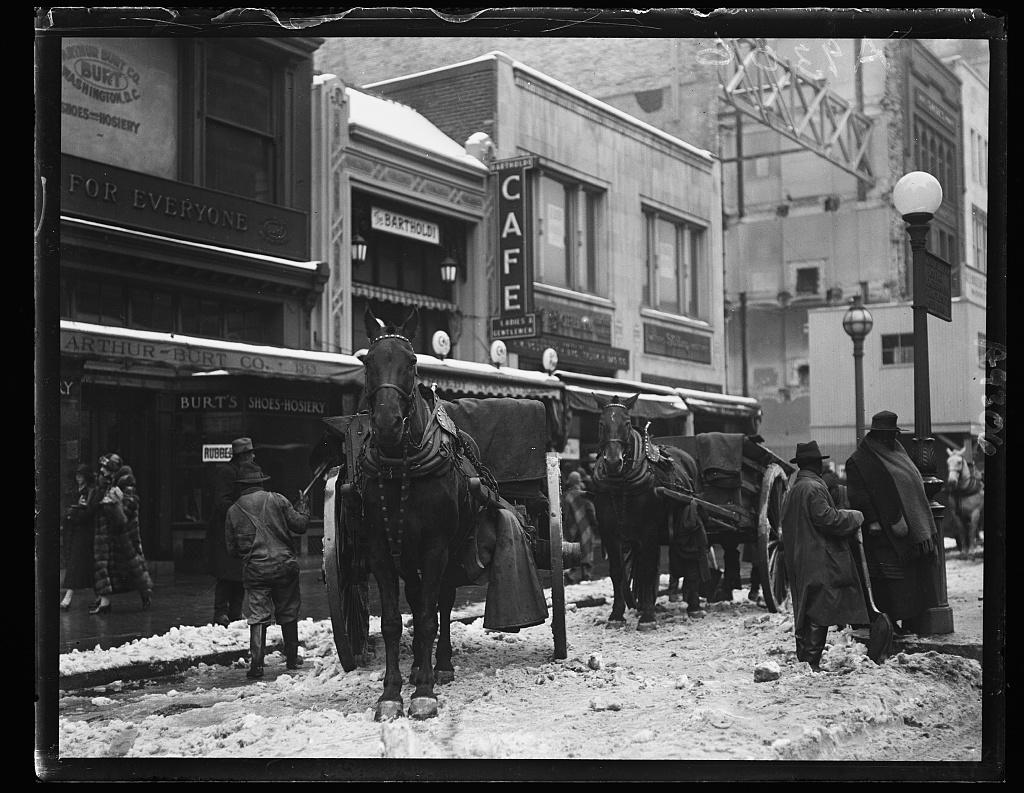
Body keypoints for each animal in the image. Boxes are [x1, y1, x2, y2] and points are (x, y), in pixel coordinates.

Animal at [356, 307, 479, 725]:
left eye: (411, 362)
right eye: (367, 362)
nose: (387, 423)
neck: (400, 467)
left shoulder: (436, 547)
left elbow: (427, 617)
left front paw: (424, 692)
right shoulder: (379, 549)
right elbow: (393, 622)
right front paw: (391, 693)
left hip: (451, 553)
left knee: (441, 602)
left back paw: (438, 665)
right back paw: (416, 668)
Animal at [585, 393, 704, 631]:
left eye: (627, 423)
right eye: (601, 424)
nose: (613, 462)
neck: (621, 484)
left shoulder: (649, 530)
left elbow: (648, 571)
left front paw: (648, 618)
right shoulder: (609, 532)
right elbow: (618, 572)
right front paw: (617, 615)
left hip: (686, 521)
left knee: (689, 558)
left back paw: (694, 606)